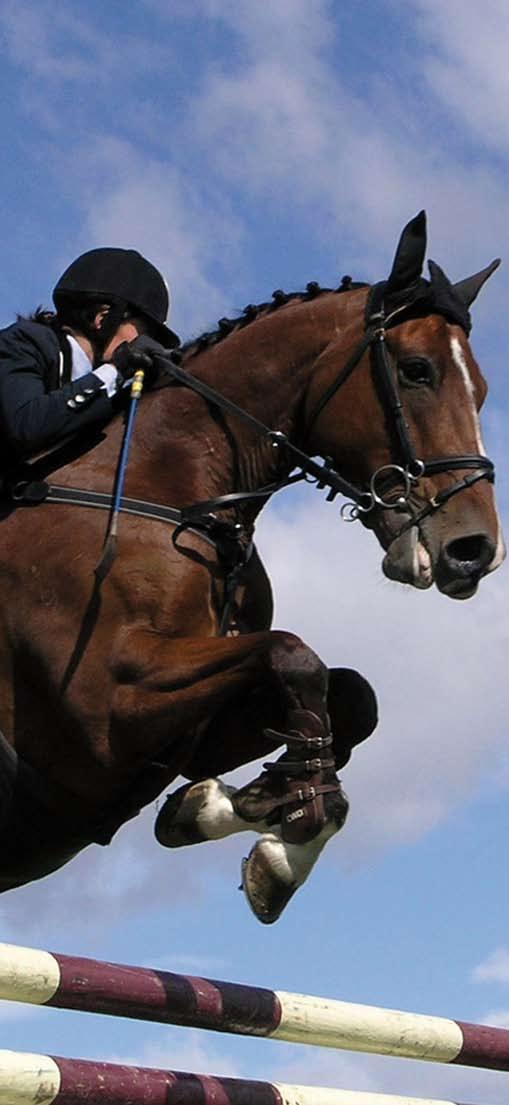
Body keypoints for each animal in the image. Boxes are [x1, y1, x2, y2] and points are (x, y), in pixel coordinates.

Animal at [0, 208, 501, 923]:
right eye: (416, 370)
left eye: (481, 389)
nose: (475, 550)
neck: (181, 497)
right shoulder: (104, 709)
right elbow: (296, 655)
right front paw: (288, 831)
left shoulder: (184, 733)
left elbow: (349, 693)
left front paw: (237, 813)